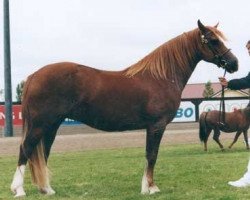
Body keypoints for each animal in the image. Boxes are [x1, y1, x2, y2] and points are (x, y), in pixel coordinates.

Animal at [11, 20, 238, 197]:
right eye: (213, 40)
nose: (234, 64)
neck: (161, 77)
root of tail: (34, 76)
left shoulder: (151, 127)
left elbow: (149, 155)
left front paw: (145, 187)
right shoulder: (157, 125)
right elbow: (152, 155)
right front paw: (151, 188)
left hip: (52, 125)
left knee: (42, 153)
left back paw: (47, 190)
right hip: (41, 124)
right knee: (25, 149)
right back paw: (19, 190)